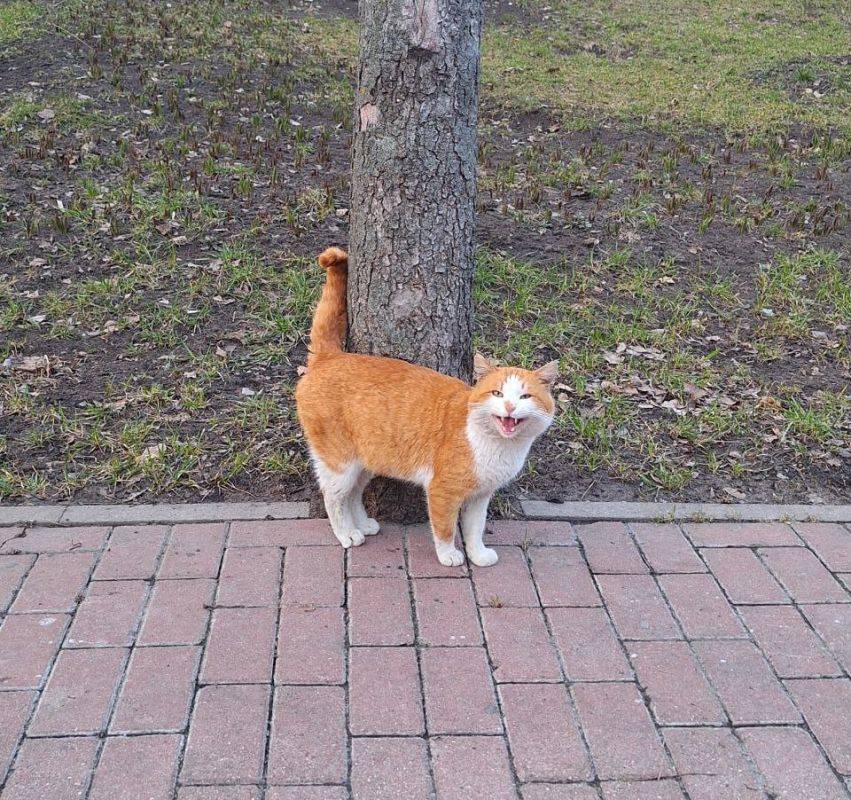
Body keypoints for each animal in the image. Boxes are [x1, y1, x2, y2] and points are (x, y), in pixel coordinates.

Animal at [294, 247, 560, 564]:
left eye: (525, 397)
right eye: (497, 393)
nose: (508, 406)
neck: (499, 447)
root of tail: (330, 356)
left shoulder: (480, 497)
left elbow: (475, 529)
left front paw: (478, 555)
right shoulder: (443, 491)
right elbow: (445, 529)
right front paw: (449, 556)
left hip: (365, 462)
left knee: (354, 494)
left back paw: (363, 524)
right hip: (340, 463)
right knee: (334, 497)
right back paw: (347, 533)